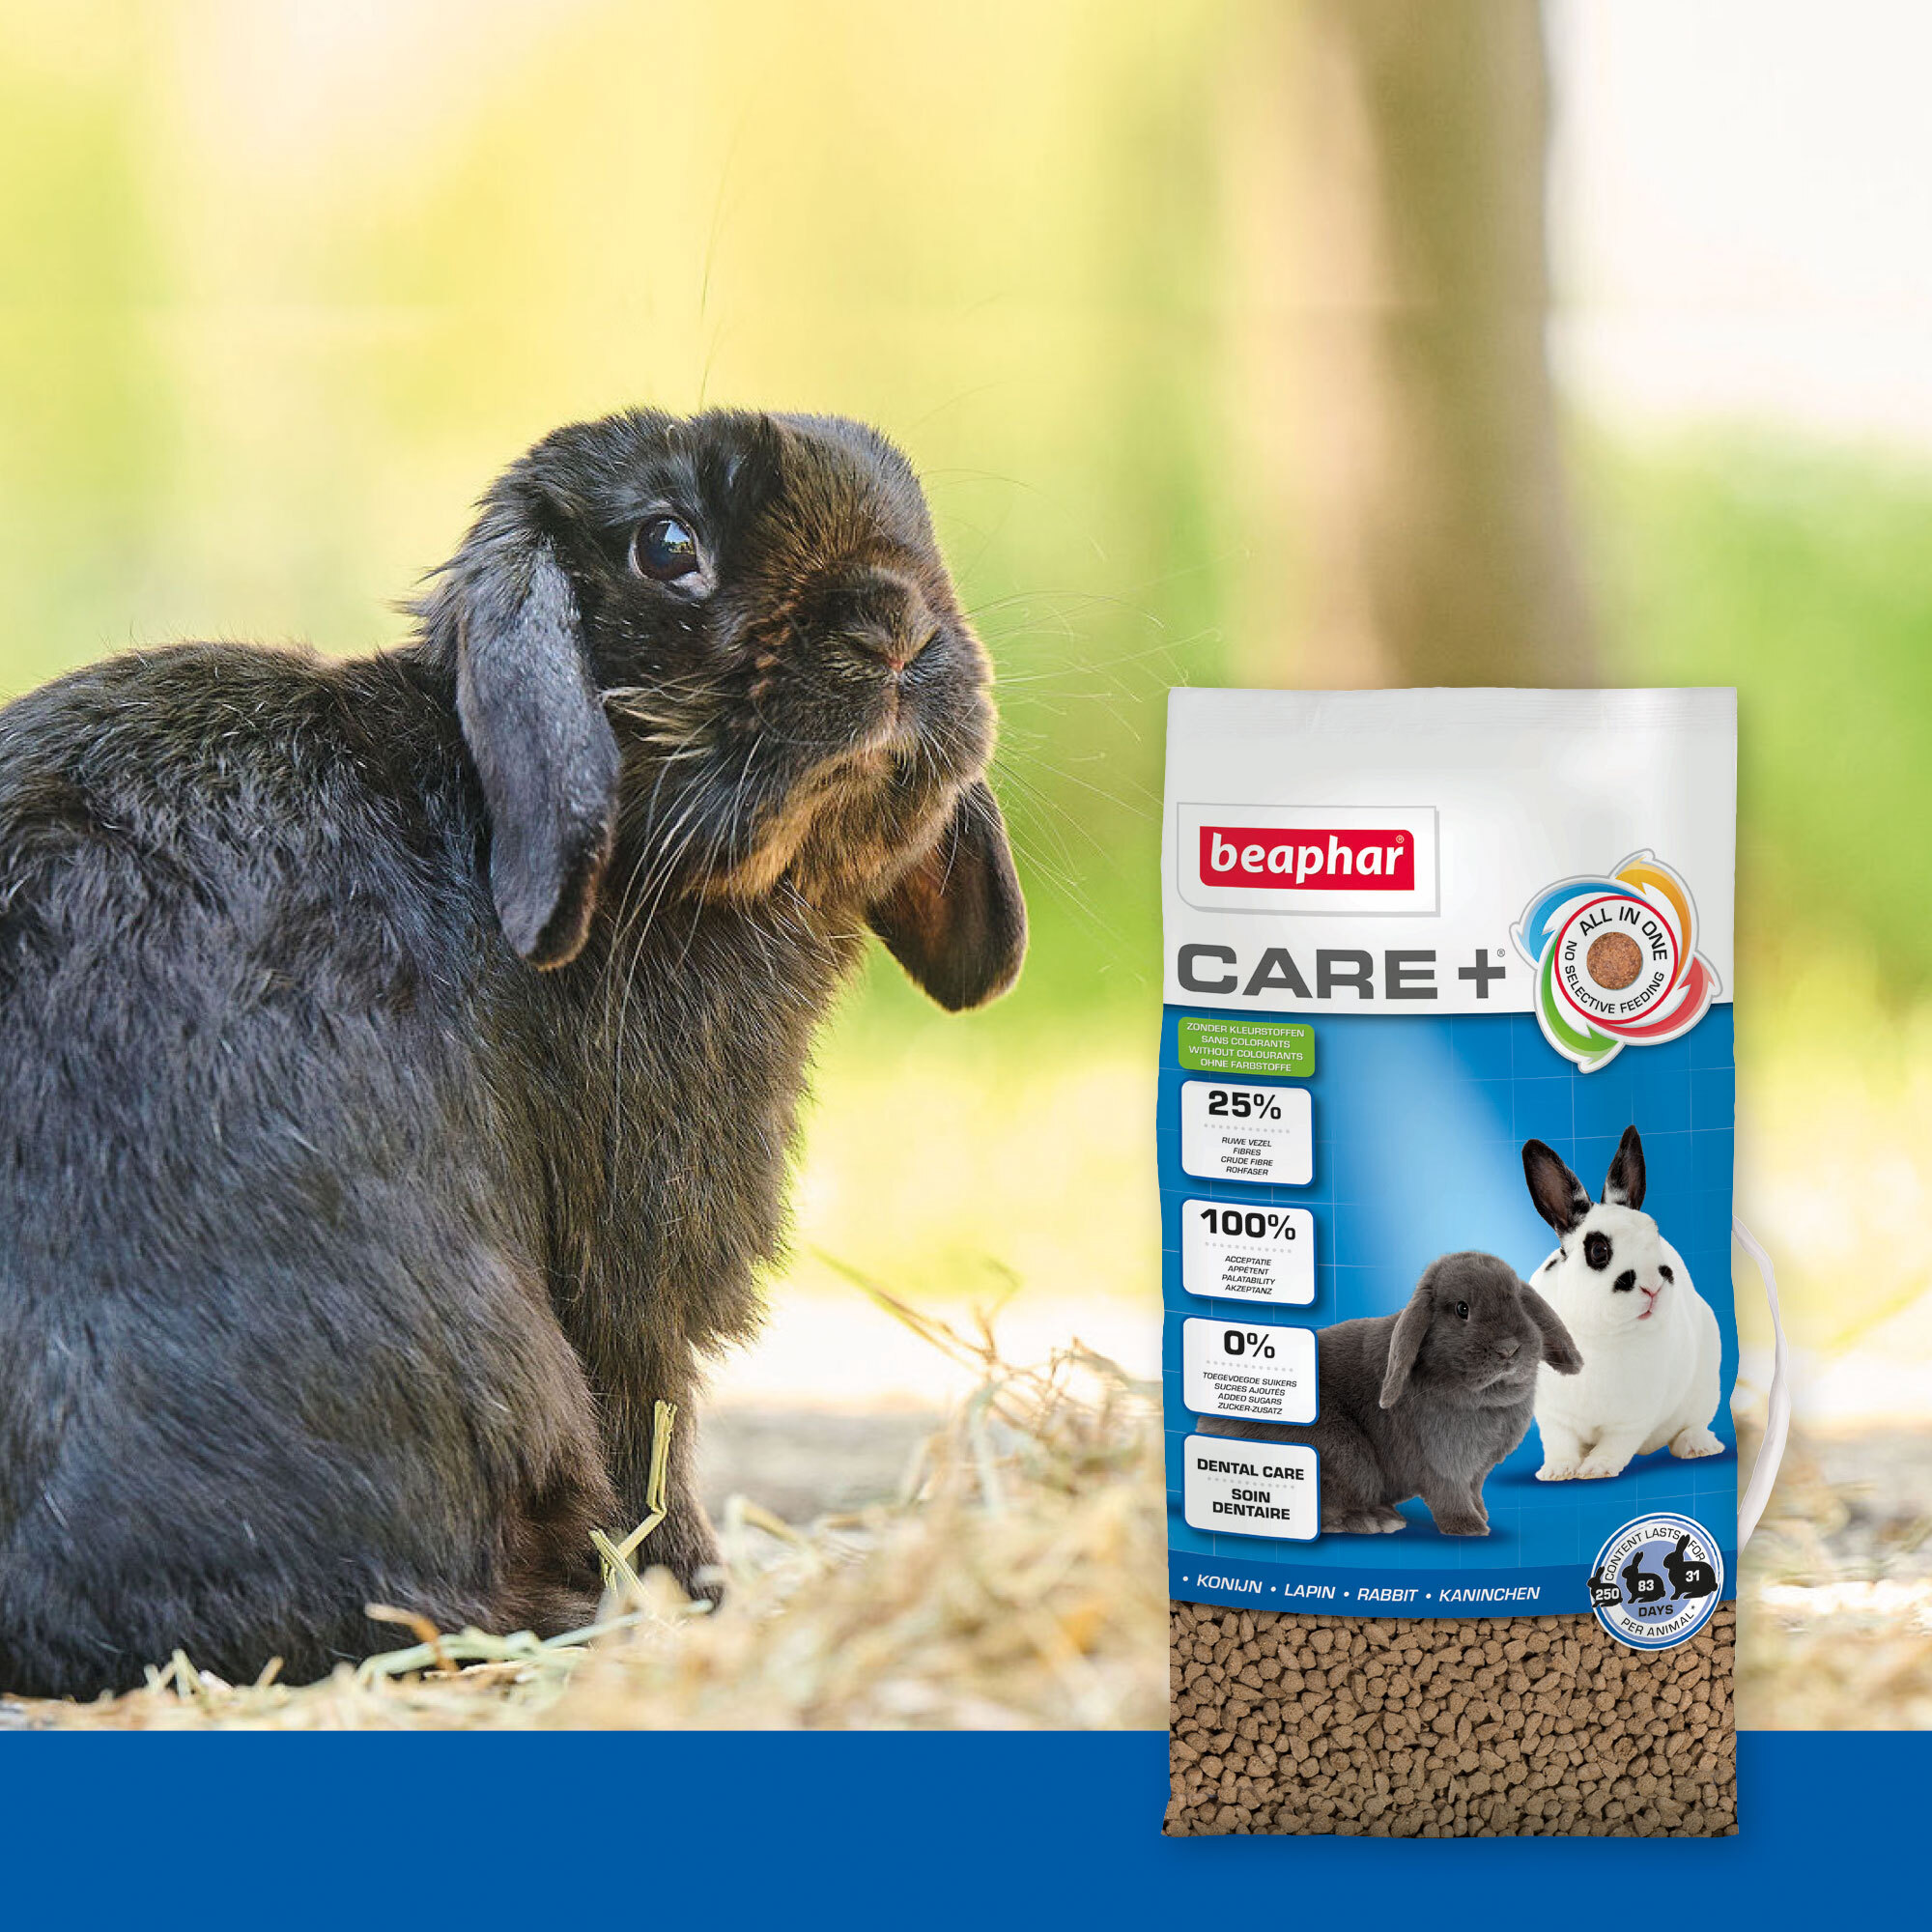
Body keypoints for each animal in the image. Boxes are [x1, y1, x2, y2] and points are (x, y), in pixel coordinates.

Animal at [1199, 1251, 1581, 1536]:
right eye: (1462, 1309)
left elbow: (1475, 1492)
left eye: (1516, 1300)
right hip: (1343, 1456)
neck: (1485, 1399)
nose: (1509, 1349)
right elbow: (1450, 1496)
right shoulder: (1442, 1465)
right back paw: (1375, 1520)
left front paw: (1483, 1516)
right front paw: (1471, 1528)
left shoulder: (1476, 1473)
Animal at [1523, 1127, 1724, 1483]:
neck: (1600, 1336)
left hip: (1706, 1387)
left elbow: (1616, 1444)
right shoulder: (1552, 1413)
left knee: (1694, 1424)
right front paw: (1557, 1471)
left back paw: (1697, 1446)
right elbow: (1559, 1441)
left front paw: (1597, 1468)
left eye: (1654, 1238)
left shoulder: (1633, 1417)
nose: (1653, 1286)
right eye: (1599, 1250)